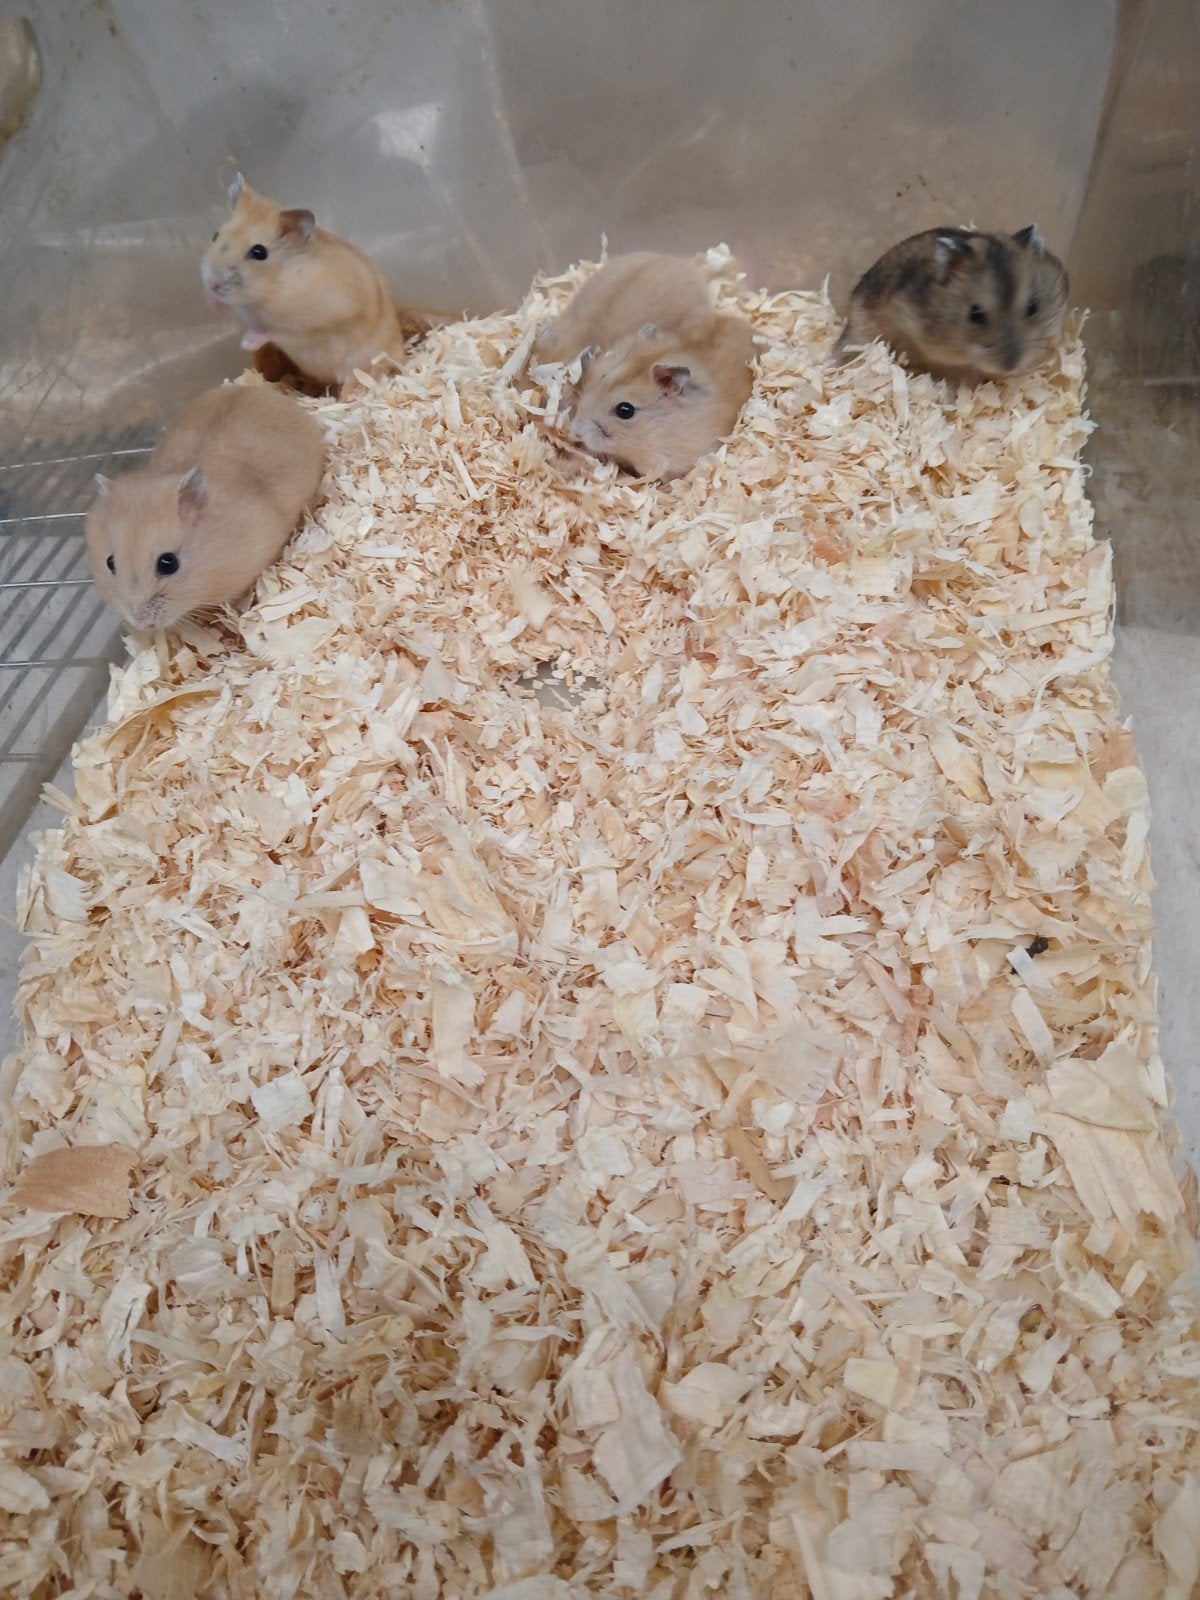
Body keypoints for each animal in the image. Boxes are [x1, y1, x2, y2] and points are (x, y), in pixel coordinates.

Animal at [201, 173, 426, 386]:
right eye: (215, 235)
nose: (212, 285)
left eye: (259, 252)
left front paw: (246, 341)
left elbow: (277, 331)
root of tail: (402, 351)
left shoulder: (321, 321)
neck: (272, 288)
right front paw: (213, 304)